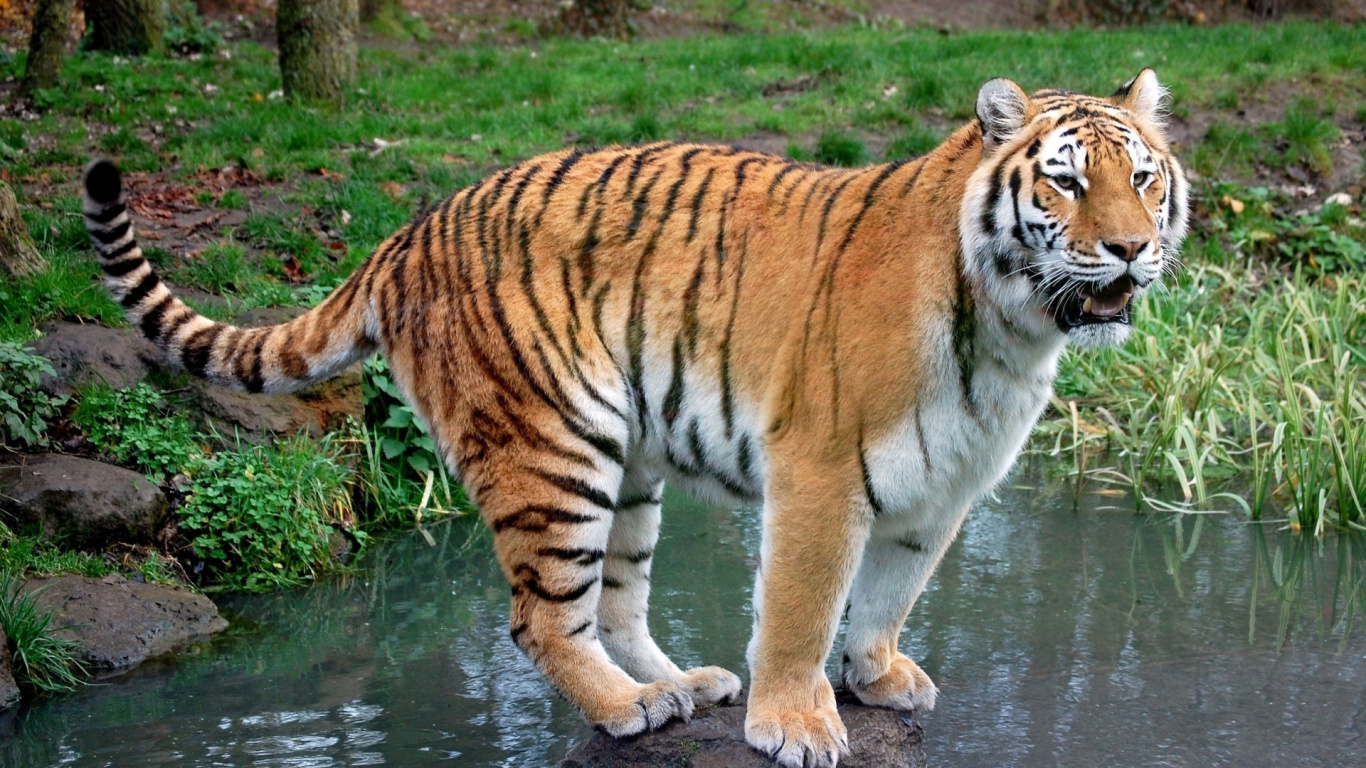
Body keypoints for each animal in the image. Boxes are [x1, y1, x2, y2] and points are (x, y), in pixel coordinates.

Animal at [81, 68, 1187, 767]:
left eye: (1142, 177)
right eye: (1064, 180)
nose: (1131, 250)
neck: (1012, 329)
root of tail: (407, 229)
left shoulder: (944, 487)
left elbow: (887, 596)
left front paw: (875, 678)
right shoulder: (821, 472)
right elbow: (804, 605)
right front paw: (796, 724)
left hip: (630, 462)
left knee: (612, 601)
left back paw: (684, 685)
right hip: (551, 447)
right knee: (540, 616)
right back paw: (629, 708)